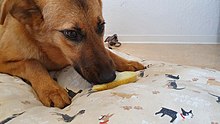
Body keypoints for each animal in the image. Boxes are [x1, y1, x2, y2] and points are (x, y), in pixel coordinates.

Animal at [0, 0, 144, 108]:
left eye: (101, 26)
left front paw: (127, 62)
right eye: (71, 33)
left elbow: (109, 52)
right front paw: (52, 90)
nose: (110, 77)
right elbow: (32, 62)